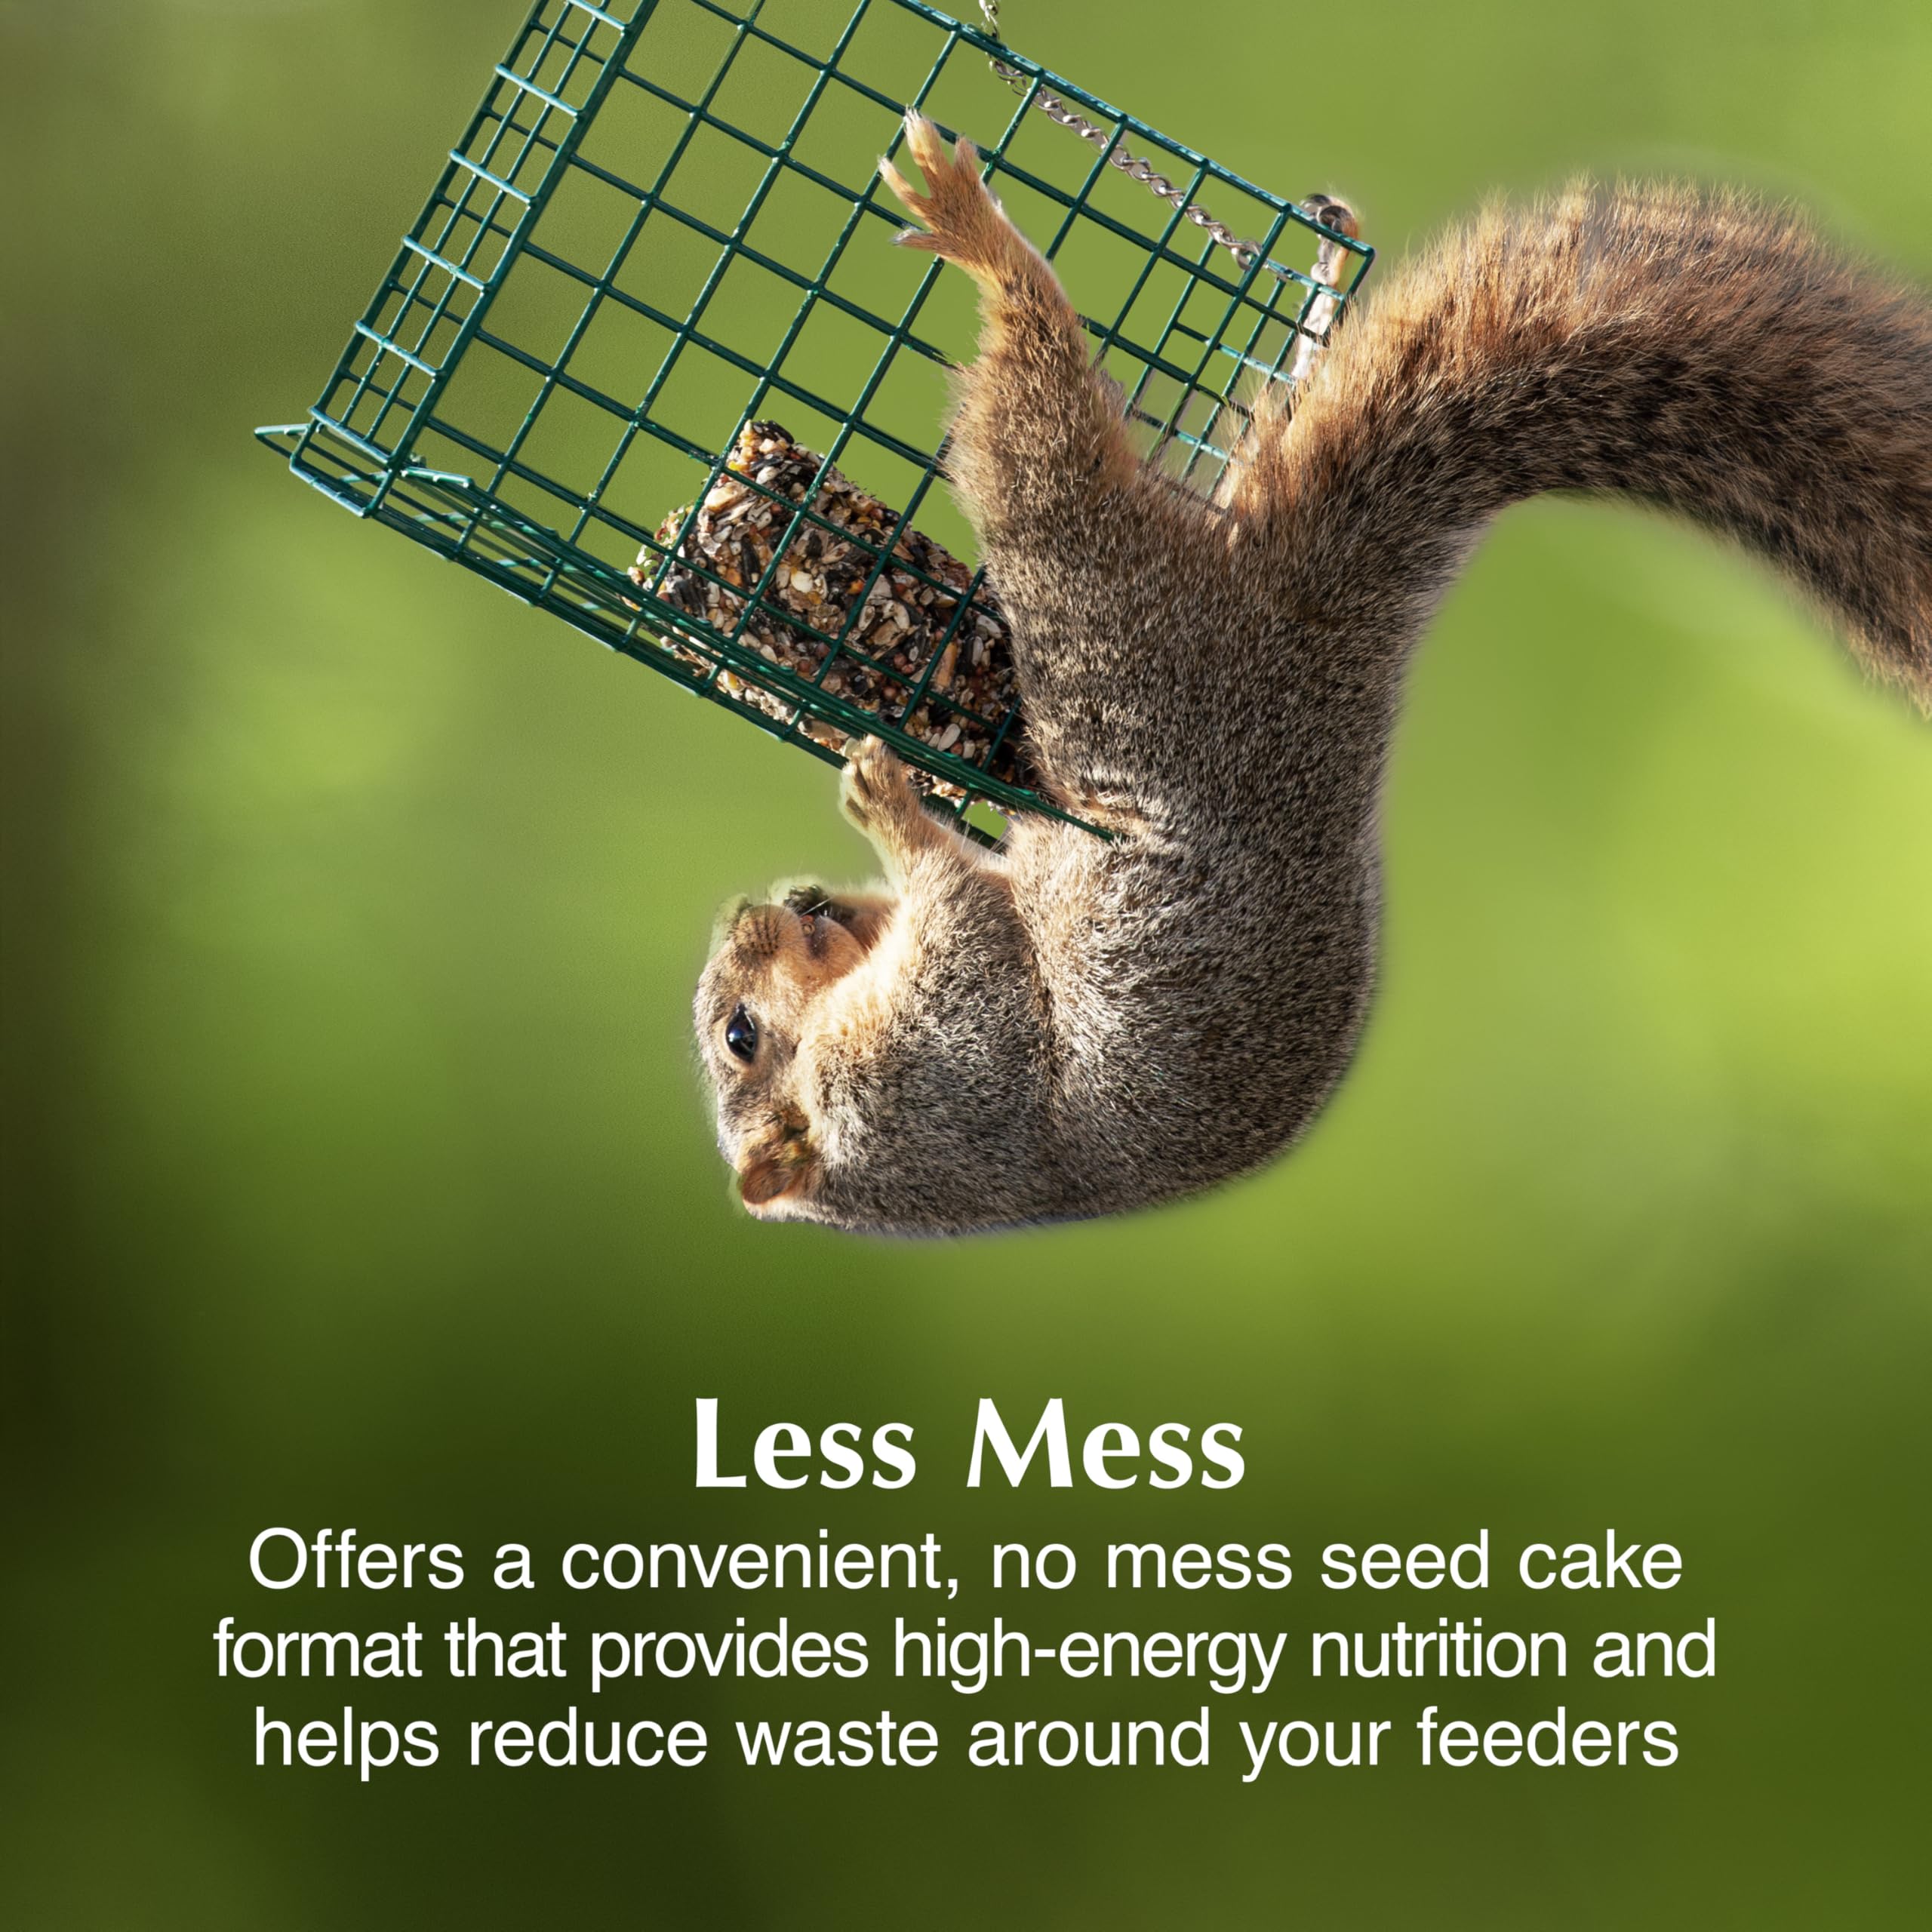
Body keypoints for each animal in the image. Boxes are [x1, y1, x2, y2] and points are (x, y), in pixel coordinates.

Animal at [694, 112, 1932, 1236]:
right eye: (737, 1036)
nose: (766, 907)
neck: (865, 1142)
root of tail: (1306, 635)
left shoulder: (935, 1065)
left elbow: (965, 911)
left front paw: (885, 806)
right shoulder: (941, 1065)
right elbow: (972, 932)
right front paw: (887, 804)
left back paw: (1041, 242)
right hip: (1123, 641)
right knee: (1044, 445)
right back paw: (993, 244)